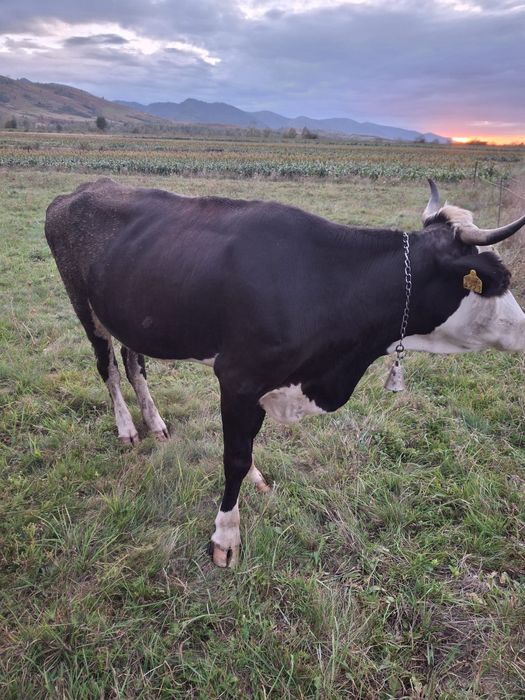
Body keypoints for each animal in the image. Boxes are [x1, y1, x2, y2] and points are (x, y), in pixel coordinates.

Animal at [45, 178, 525, 567]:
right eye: (500, 279)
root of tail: (80, 191)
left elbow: (246, 449)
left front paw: (256, 480)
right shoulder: (237, 378)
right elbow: (234, 458)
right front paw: (226, 537)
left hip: (130, 313)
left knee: (134, 362)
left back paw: (155, 422)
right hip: (83, 304)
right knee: (107, 367)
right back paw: (127, 427)